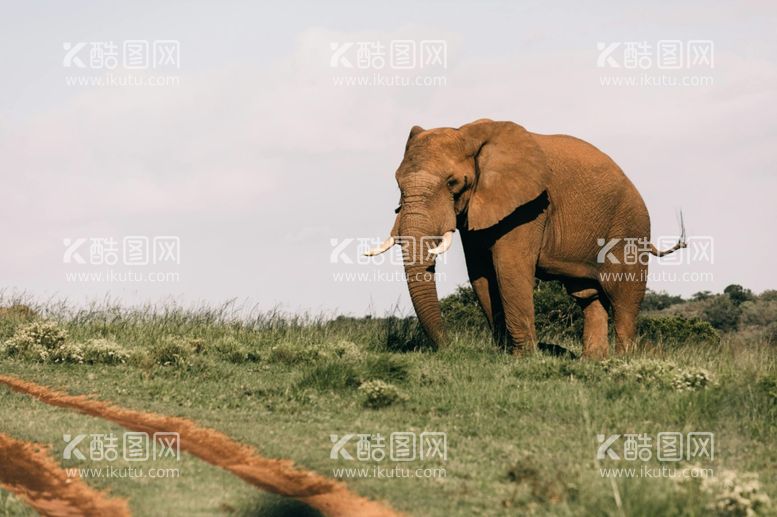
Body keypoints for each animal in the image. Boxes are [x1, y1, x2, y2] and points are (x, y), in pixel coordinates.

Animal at [366, 118, 684, 356]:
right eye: (398, 183)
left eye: (453, 183)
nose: (449, 347)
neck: (470, 134)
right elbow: (481, 273)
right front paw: (504, 353)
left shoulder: (530, 207)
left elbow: (509, 268)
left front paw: (524, 357)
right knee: (588, 297)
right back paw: (592, 362)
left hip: (630, 226)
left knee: (623, 297)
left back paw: (622, 361)